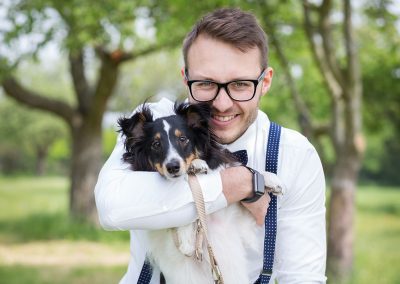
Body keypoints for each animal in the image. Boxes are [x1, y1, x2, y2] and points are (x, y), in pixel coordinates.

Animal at [117, 102, 258, 284]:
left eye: (183, 139)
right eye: (156, 144)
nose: (173, 167)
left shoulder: (236, 219)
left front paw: (272, 181)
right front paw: (186, 241)